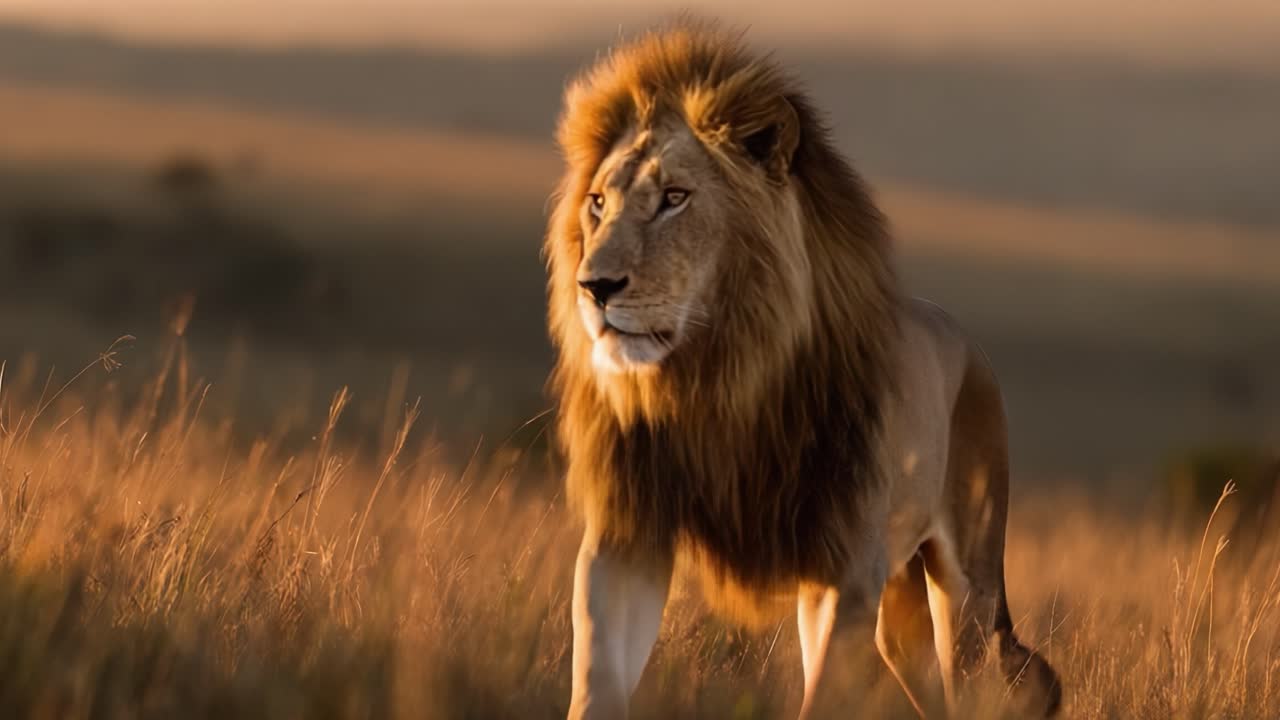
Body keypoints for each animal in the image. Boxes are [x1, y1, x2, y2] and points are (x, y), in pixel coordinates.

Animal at [544, 23, 1062, 719]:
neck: (720, 378)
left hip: (967, 590)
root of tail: (967, 340)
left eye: (675, 199)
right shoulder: (626, 536)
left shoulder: (840, 572)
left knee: (970, 673)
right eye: (598, 202)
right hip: (898, 615)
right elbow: (597, 678)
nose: (594, 287)